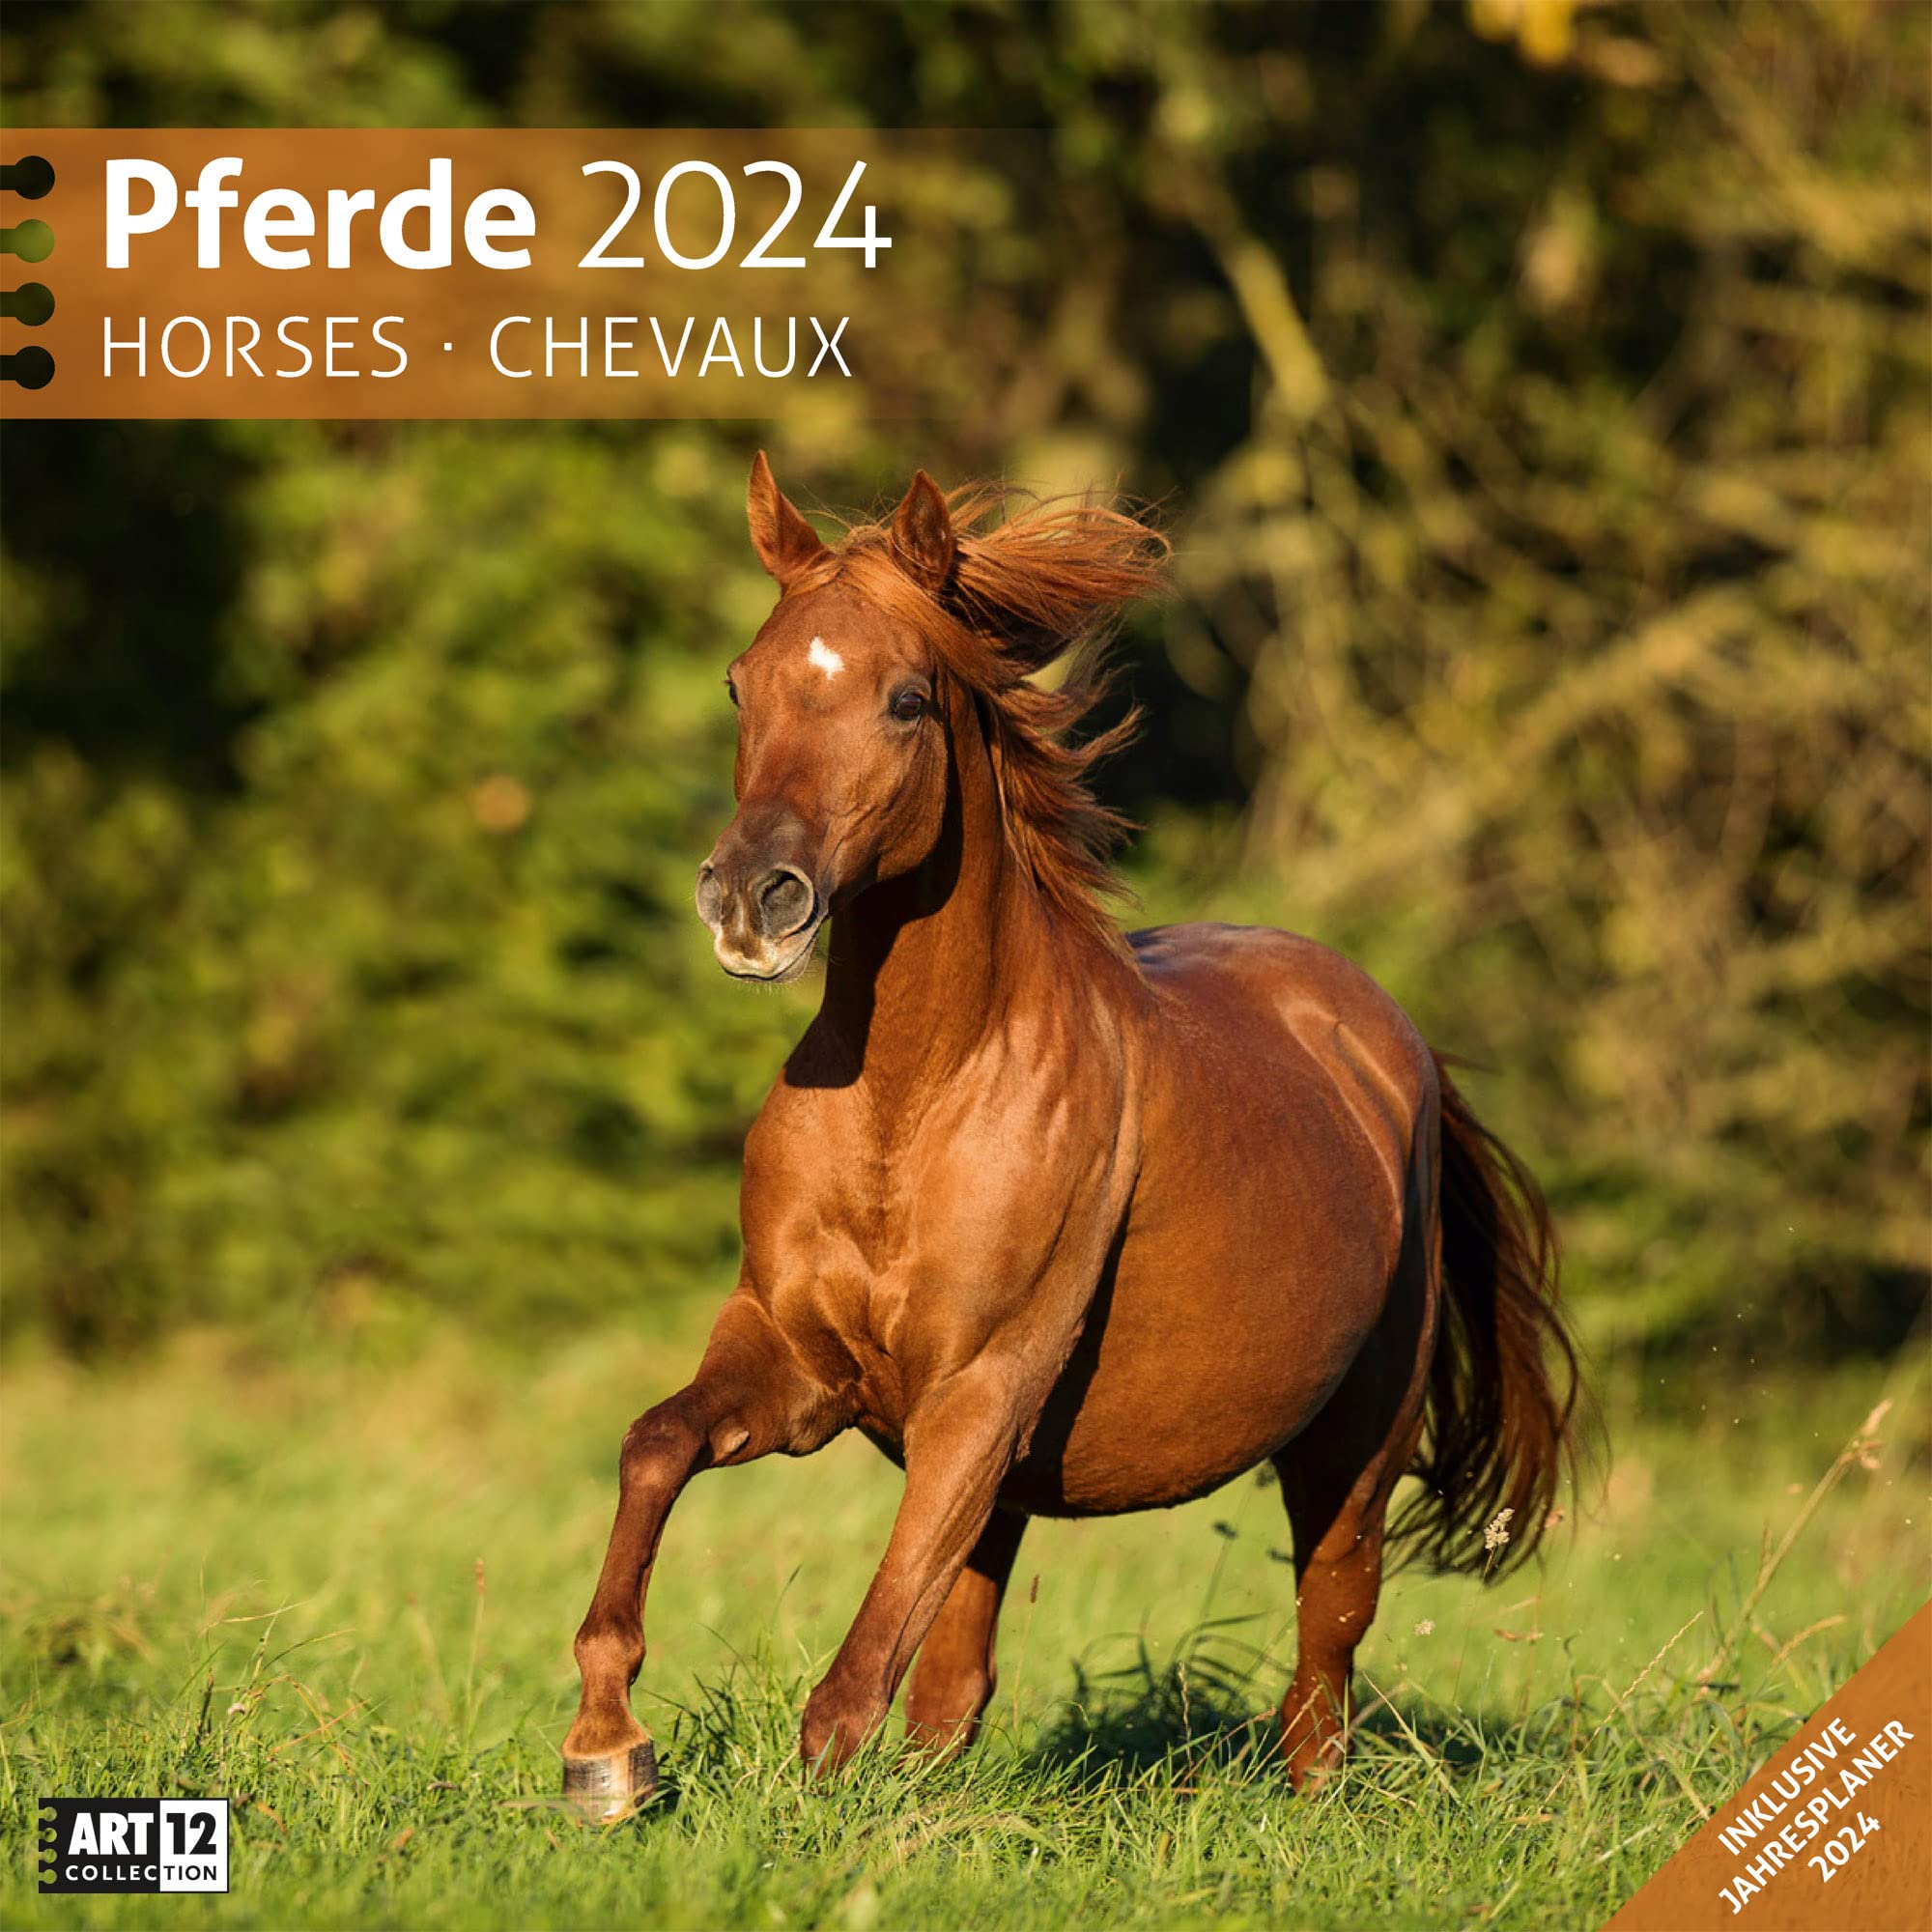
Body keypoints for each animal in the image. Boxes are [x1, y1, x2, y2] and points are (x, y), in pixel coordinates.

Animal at [560, 455, 1583, 1815]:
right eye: (742, 681)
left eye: (905, 698)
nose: (748, 899)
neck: (914, 1102)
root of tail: (1386, 1036)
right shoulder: (796, 1358)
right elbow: (655, 1447)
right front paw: (605, 1746)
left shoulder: (980, 1390)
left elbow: (847, 1690)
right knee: (959, 1683)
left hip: (1352, 1446)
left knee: (1322, 1666)